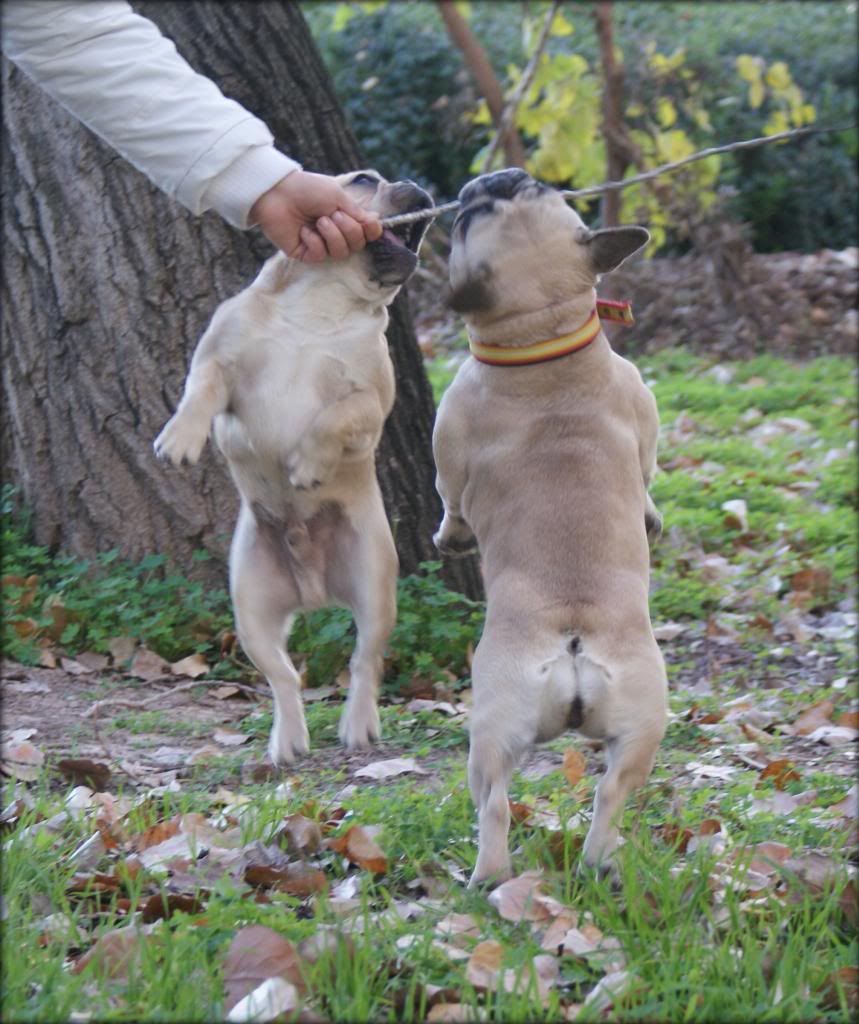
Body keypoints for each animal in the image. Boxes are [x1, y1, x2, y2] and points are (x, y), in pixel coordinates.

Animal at [153, 172, 430, 770]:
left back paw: (357, 725)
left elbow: (334, 417)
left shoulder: (370, 403)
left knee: (364, 660)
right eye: (365, 180)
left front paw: (306, 462)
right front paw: (181, 438)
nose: (414, 183)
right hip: (251, 607)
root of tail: (312, 591)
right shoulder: (217, 363)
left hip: (375, 585)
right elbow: (199, 391)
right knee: (283, 675)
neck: (325, 304)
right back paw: (288, 738)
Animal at [434, 169, 667, 888]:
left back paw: (487, 875)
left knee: (493, 803)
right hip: (643, 723)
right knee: (612, 792)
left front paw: (449, 536)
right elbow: (648, 470)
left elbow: (449, 496)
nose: (498, 174)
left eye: (470, 218)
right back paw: (599, 860)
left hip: (489, 726)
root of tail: (573, 641)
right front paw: (651, 516)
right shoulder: (641, 405)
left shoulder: (448, 436)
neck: (542, 345)